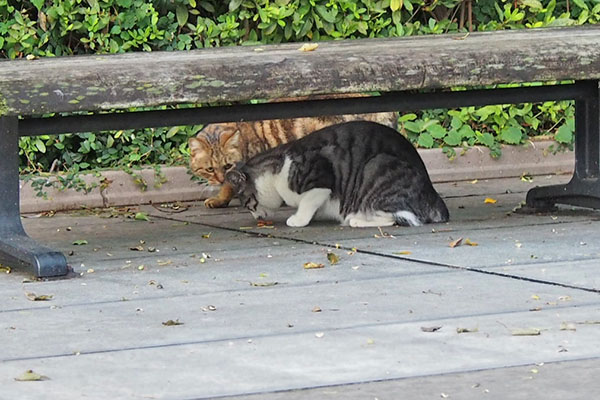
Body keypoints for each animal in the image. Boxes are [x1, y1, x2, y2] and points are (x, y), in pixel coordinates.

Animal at [225, 121, 450, 228]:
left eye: (248, 204)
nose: (256, 217)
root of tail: (433, 195)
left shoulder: (321, 176)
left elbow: (308, 202)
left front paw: (298, 219)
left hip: (376, 168)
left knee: (404, 218)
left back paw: (355, 220)